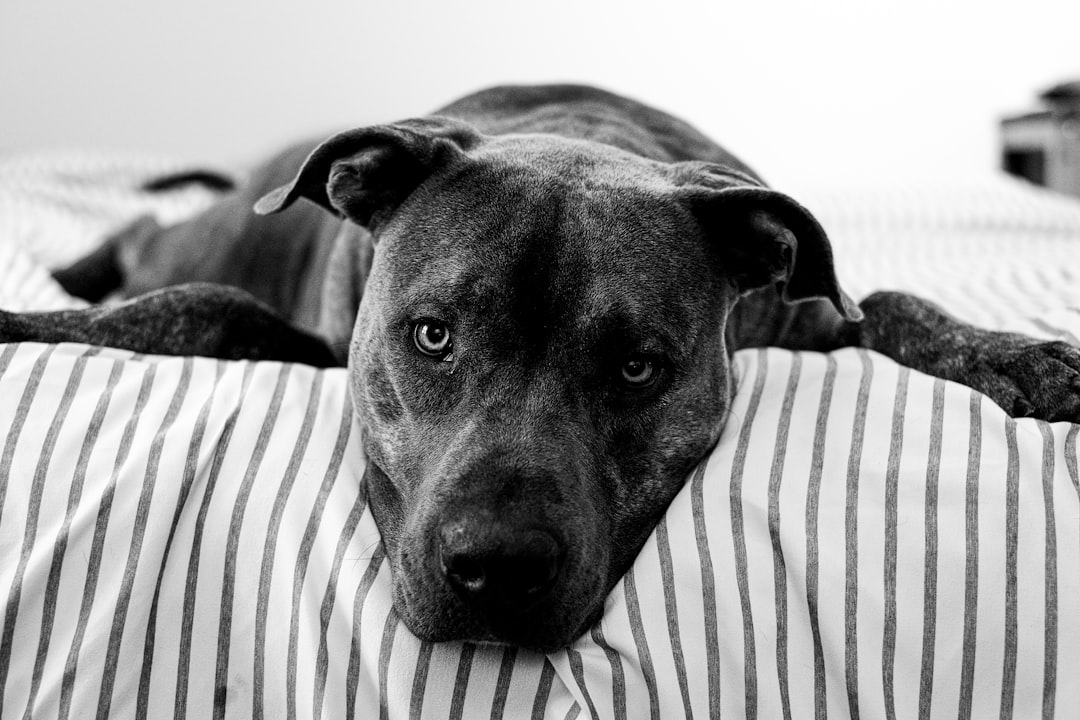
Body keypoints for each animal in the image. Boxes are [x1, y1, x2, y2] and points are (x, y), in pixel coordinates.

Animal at [4, 85, 1075, 651]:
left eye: (639, 368)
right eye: (431, 337)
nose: (497, 569)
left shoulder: (811, 314)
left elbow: (892, 305)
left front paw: (1028, 358)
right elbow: (202, 311)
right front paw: (22, 317)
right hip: (209, 230)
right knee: (148, 241)